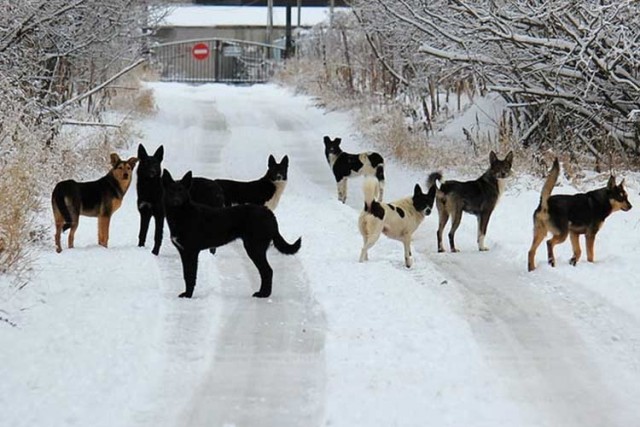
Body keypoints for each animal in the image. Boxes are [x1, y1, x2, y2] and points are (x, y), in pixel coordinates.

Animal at [160, 169, 300, 300]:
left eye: (181, 191)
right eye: (171, 191)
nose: (176, 201)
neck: (182, 214)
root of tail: (270, 214)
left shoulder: (191, 252)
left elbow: (190, 276)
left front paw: (188, 295)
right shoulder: (184, 252)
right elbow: (185, 275)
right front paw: (186, 294)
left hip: (254, 248)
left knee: (267, 271)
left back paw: (263, 294)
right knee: (266, 271)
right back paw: (263, 293)